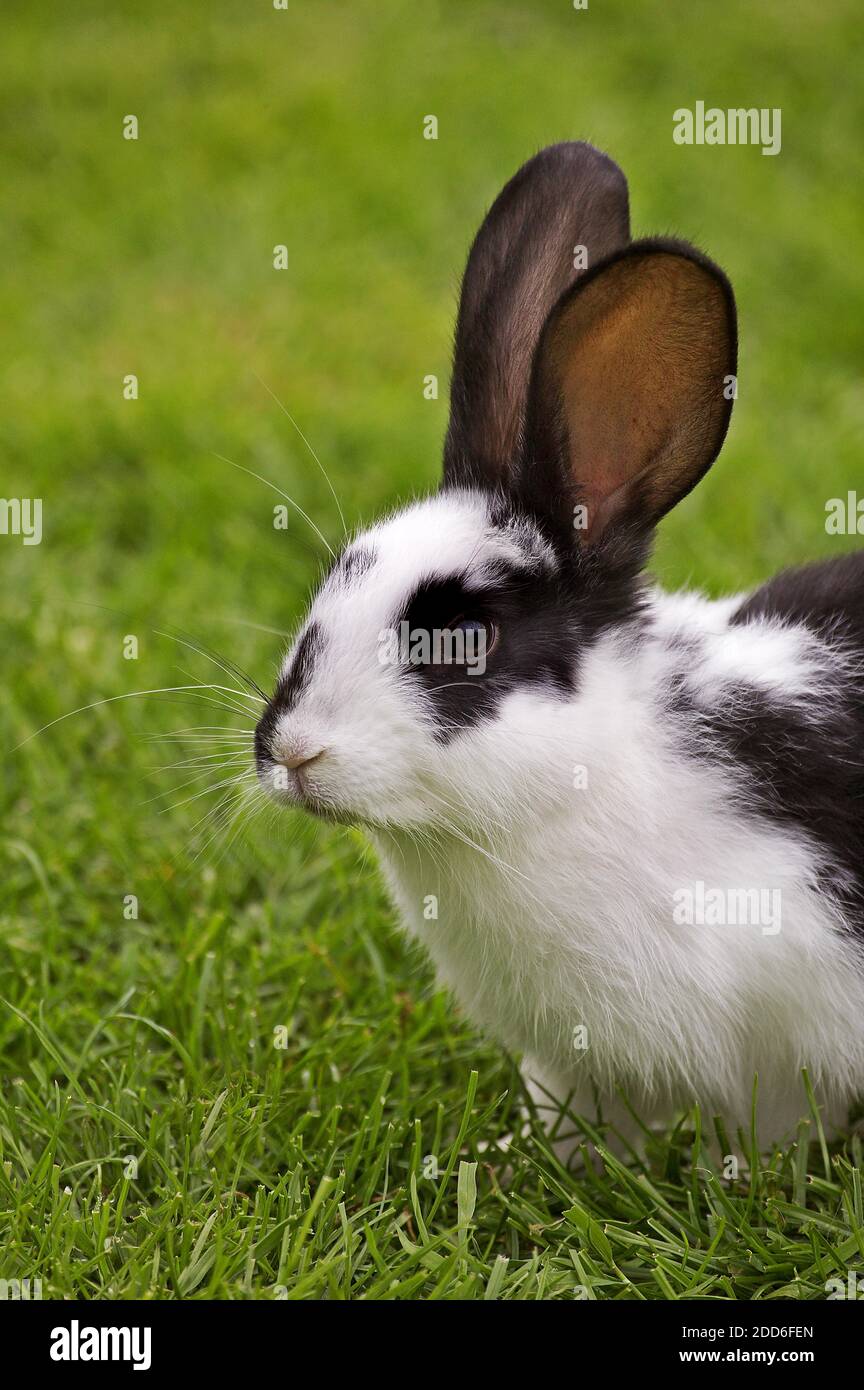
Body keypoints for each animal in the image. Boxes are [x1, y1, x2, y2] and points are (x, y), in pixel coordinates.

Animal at [253, 142, 864, 1158]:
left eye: (464, 639)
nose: (291, 753)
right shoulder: (577, 1063)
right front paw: (529, 1161)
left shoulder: (795, 1023)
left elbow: (775, 1130)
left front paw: (738, 1179)